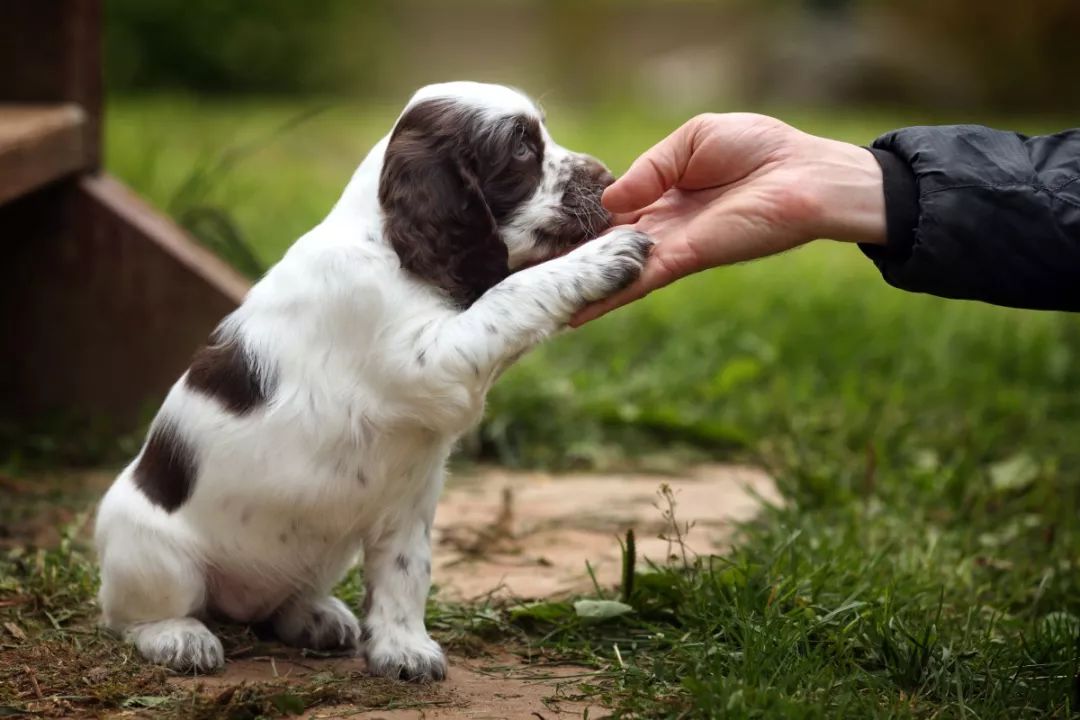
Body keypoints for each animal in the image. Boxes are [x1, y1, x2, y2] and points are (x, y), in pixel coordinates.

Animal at [95, 80, 648, 682]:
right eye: (522, 148)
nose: (611, 177)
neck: (387, 243)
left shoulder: (409, 499)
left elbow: (405, 573)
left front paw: (402, 649)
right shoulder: (431, 360)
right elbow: (511, 294)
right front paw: (603, 257)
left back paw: (316, 617)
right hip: (154, 555)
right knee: (134, 615)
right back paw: (179, 637)